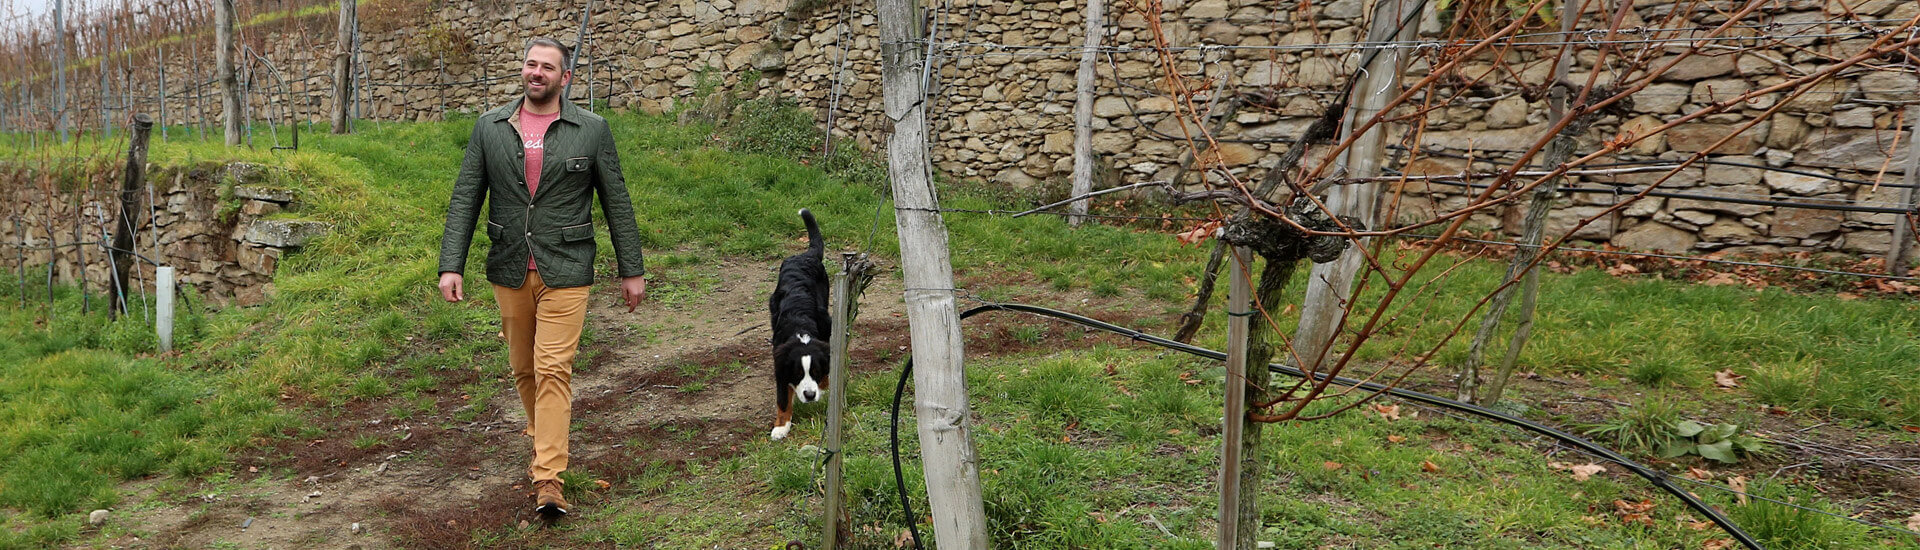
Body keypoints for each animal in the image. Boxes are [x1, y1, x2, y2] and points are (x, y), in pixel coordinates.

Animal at [768, 208, 829, 440]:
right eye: (797, 374)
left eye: (815, 372)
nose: (810, 395)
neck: (800, 328)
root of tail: (805, 255)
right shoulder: (780, 365)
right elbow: (782, 399)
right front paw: (781, 427)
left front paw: (823, 388)